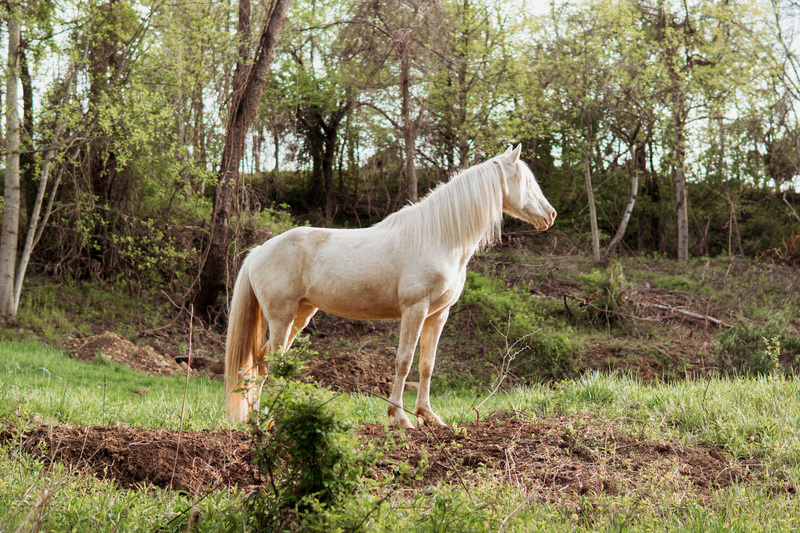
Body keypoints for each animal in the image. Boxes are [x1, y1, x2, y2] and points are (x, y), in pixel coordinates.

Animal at [222, 143, 552, 426]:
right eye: (527, 181)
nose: (550, 215)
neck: (440, 237)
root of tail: (257, 252)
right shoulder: (415, 310)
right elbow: (404, 362)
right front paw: (400, 417)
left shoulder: (437, 315)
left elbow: (427, 365)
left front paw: (429, 416)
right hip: (282, 317)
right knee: (269, 363)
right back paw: (266, 421)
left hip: (301, 315)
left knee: (261, 361)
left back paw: (260, 419)